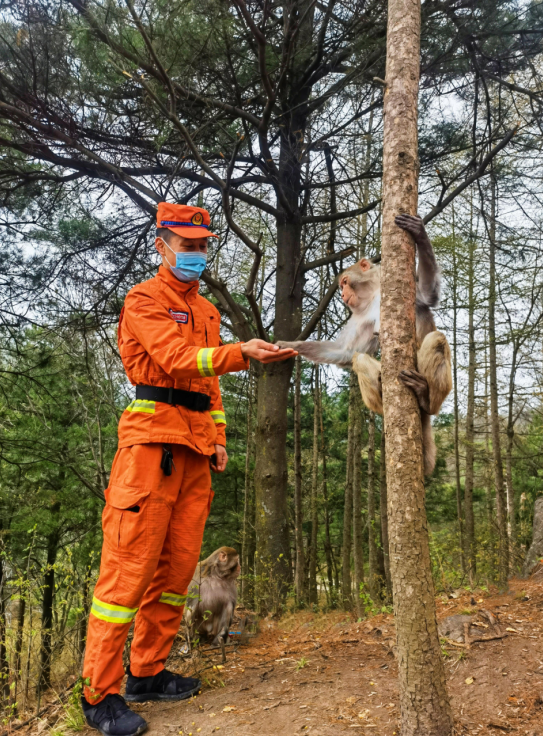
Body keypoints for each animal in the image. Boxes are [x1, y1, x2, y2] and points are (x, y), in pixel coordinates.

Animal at [278, 216, 452, 474]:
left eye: (345, 282)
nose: (342, 295)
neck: (376, 294)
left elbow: (429, 293)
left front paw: (420, 234)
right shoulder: (360, 315)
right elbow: (347, 352)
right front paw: (287, 345)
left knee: (437, 339)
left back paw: (425, 397)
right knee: (359, 359)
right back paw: (384, 398)